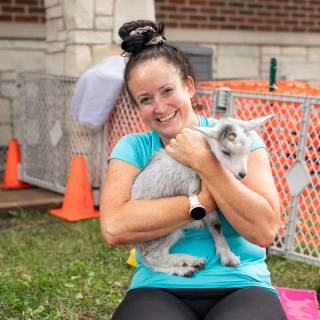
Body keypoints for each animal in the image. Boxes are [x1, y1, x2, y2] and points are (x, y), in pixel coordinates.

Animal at [130, 115, 272, 278]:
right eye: (225, 151)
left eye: (248, 149)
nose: (242, 174)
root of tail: (137, 244)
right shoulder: (200, 195)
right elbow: (216, 225)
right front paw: (229, 258)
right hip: (161, 231)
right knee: (152, 256)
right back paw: (186, 266)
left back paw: (188, 261)